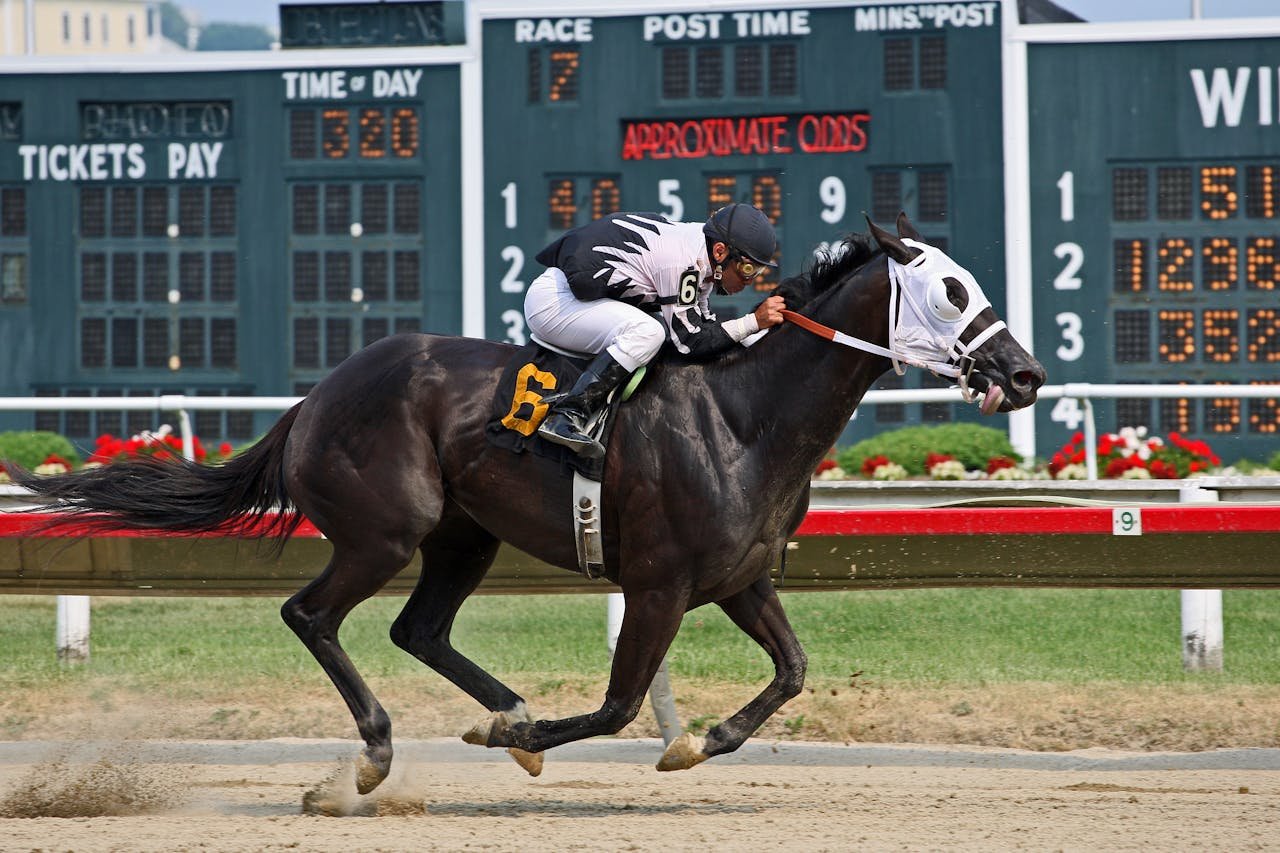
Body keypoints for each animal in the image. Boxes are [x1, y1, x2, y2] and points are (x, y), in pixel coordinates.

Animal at [11, 213, 1045, 794]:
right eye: (952, 290)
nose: (1026, 373)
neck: (742, 411)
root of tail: (317, 395)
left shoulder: (738, 579)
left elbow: (792, 670)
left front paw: (701, 738)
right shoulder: (660, 583)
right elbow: (620, 705)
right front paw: (558, 738)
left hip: (463, 537)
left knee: (418, 629)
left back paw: (500, 710)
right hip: (385, 531)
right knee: (311, 614)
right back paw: (381, 751)